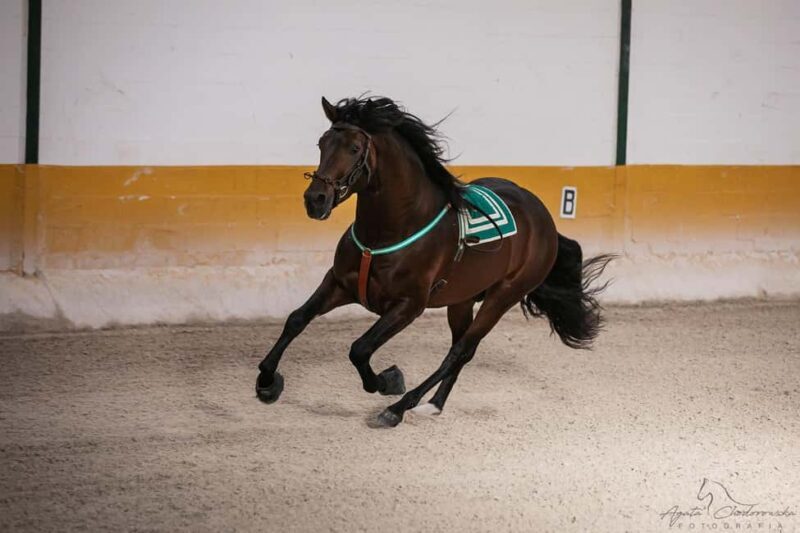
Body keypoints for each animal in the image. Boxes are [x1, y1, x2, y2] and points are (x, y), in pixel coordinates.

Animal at [255, 96, 613, 427]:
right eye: (322, 143)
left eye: (355, 148)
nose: (315, 200)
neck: (387, 232)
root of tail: (544, 219)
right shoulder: (340, 283)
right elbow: (297, 319)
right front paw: (266, 381)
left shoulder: (408, 306)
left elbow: (360, 348)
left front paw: (388, 381)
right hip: (462, 300)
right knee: (460, 350)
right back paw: (434, 404)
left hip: (502, 296)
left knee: (460, 352)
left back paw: (400, 407)